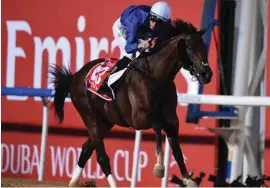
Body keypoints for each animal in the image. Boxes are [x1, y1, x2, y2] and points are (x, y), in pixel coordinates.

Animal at [49, 19, 213, 187]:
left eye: (204, 47)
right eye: (190, 48)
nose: (206, 74)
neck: (156, 77)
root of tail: (75, 75)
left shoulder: (172, 119)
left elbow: (176, 149)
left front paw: (188, 179)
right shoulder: (139, 119)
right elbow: (157, 125)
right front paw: (159, 167)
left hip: (106, 122)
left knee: (86, 149)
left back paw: (73, 182)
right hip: (90, 118)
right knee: (102, 158)